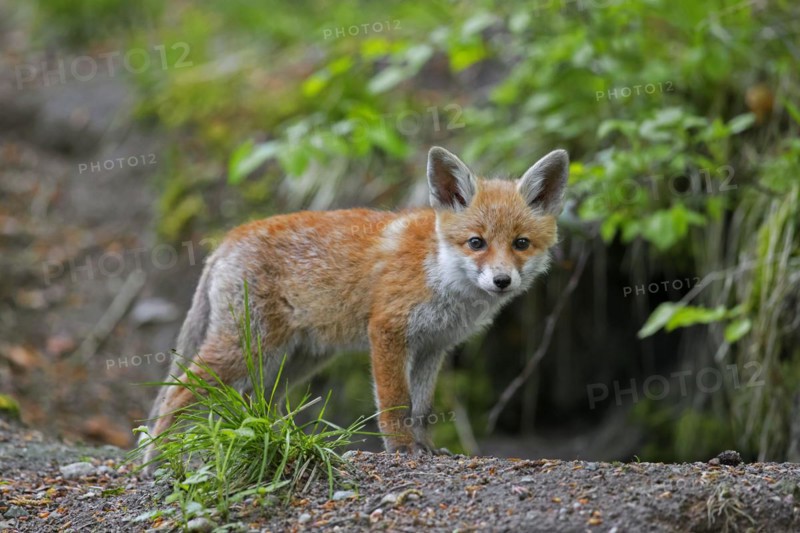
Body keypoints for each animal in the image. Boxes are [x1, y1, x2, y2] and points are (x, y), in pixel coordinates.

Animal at [145, 146, 568, 462]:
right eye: (476, 243)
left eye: (521, 244)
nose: (502, 281)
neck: (439, 273)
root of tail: (227, 240)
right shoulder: (388, 331)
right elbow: (395, 403)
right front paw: (402, 449)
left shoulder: (433, 346)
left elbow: (421, 409)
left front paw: (427, 448)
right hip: (247, 350)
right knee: (175, 394)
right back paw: (159, 462)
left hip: (291, 361)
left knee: (254, 401)